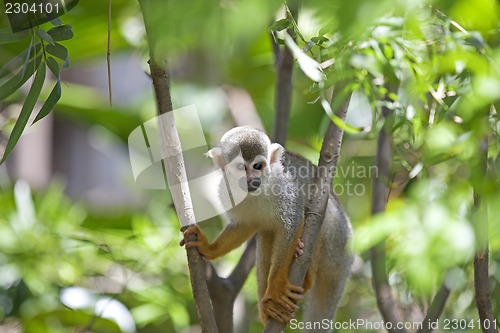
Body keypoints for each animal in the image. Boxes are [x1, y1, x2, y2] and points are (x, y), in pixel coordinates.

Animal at [181, 127, 352, 326]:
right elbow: (245, 224)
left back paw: (306, 276)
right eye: (240, 167)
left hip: (336, 237)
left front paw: (277, 285)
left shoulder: (285, 187)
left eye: (257, 166)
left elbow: (292, 223)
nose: (252, 180)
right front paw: (207, 247)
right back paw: (267, 308)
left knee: (317, 217)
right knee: (266, 235)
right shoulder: (226, 190)